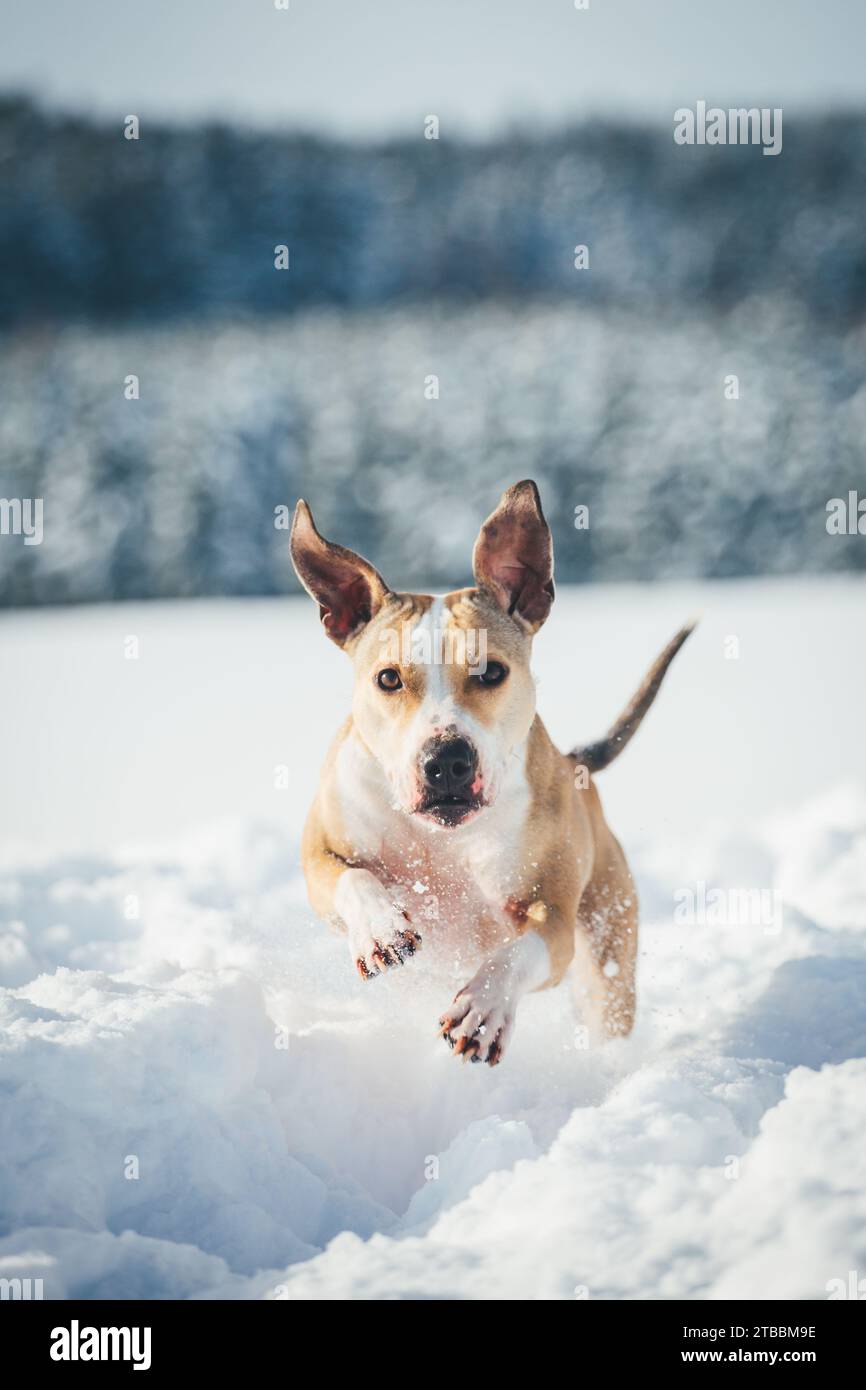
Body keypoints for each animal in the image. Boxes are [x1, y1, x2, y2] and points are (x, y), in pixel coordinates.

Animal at [289, 478, 692, 1061]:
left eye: (491, 671)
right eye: (388, 679)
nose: (446, 762)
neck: (444, 839)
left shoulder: (553, 919)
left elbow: (517, 952)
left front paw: (484, 1008)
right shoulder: (322, 847)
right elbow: (353, 877)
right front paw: (382, 929)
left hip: (606, 949)